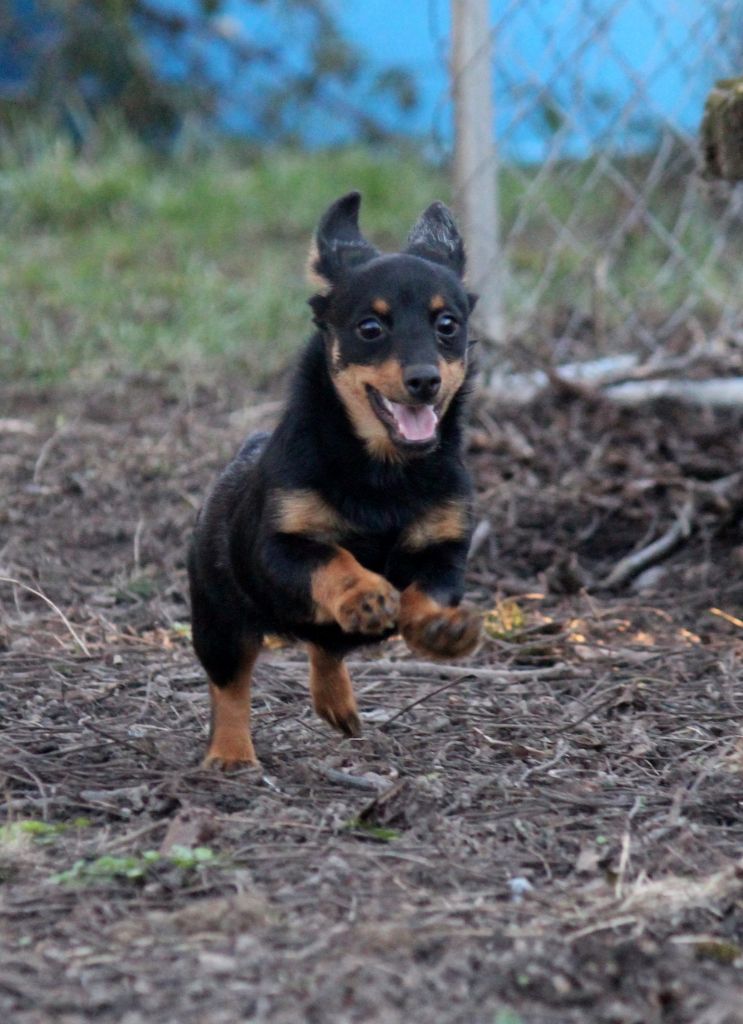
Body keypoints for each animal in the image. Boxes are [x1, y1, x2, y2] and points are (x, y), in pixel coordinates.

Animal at [187, 193, 483, 770]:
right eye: (370, 328)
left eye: (447, 324)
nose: (424, 380)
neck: (383, 471)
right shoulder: (278, 548)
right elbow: (333, 558)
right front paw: (365, 591)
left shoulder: (444, 550)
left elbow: (426, 591)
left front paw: (441, 626)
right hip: (217, 620)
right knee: (230, 683)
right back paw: (231, 753)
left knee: (325, 647)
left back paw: (338, 705)